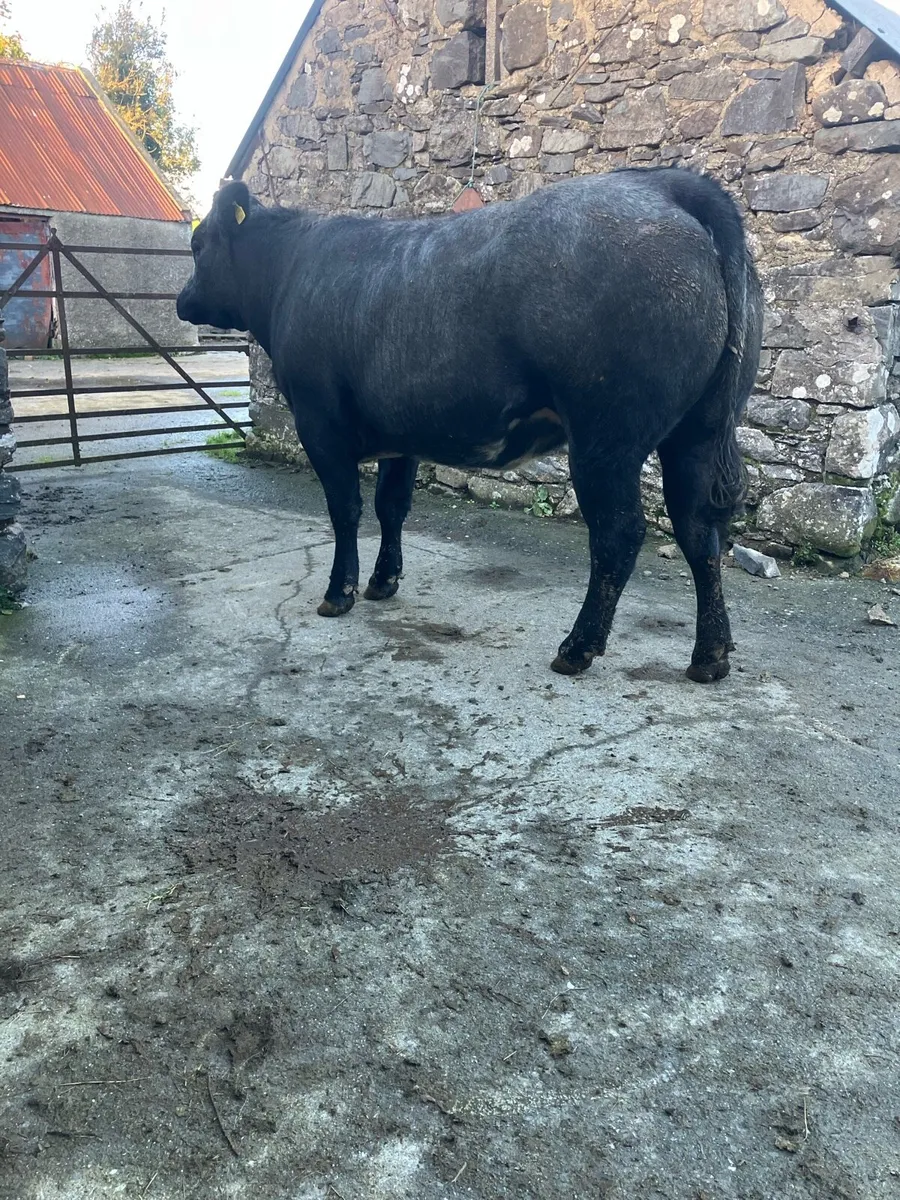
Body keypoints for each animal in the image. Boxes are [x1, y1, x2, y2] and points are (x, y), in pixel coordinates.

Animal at [177, 167, 762, 682]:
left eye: (199, 243)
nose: (183, 301)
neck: (291, 271)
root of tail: (666, 184)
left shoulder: (320, 423)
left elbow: (345, 511)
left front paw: (338, 593)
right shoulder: (400, 434)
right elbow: (392, 507)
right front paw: (383, 581)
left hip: (606, 437)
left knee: (619, 535)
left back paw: (578, 647)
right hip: (697, 433)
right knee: (699, 531)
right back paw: (710, 656)